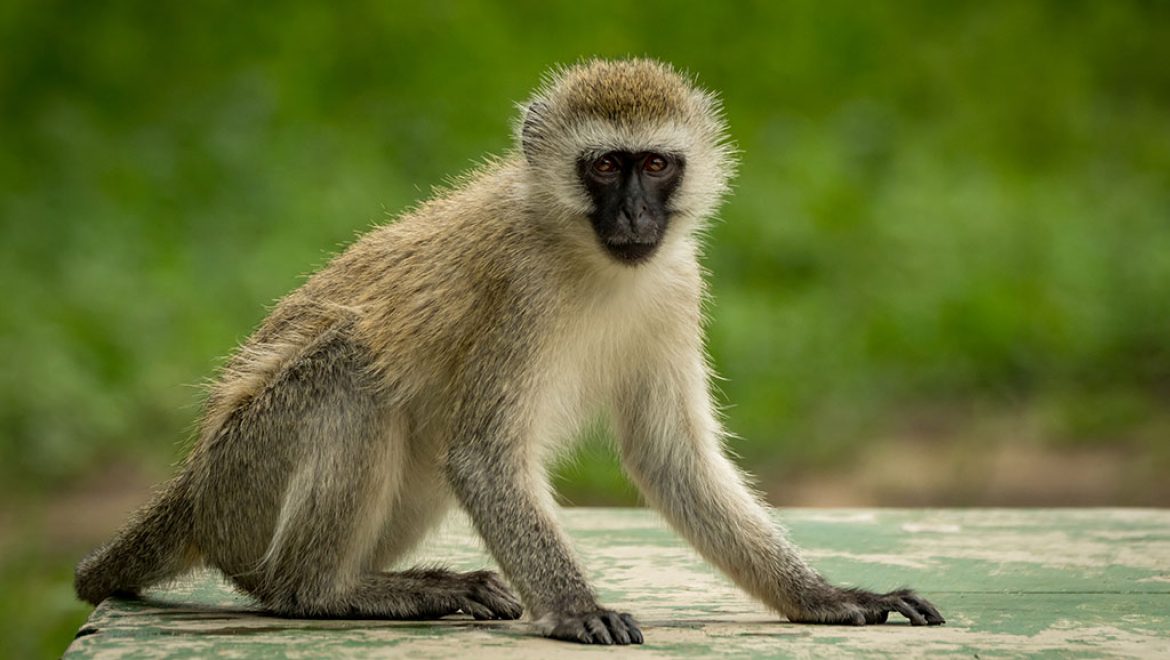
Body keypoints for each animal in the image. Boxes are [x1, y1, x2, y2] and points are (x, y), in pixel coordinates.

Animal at [75, 57, 940, 645]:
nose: (633, 216)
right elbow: (486, 458)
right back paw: (325, 590)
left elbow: (671, 458)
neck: (586, 254)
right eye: (605, 166)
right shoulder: (518, 291)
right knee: (353, 378)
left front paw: (828, 598)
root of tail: (194, 488)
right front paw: (577, 607)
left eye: (655, 165)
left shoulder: (676, 285)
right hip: (246, 480)